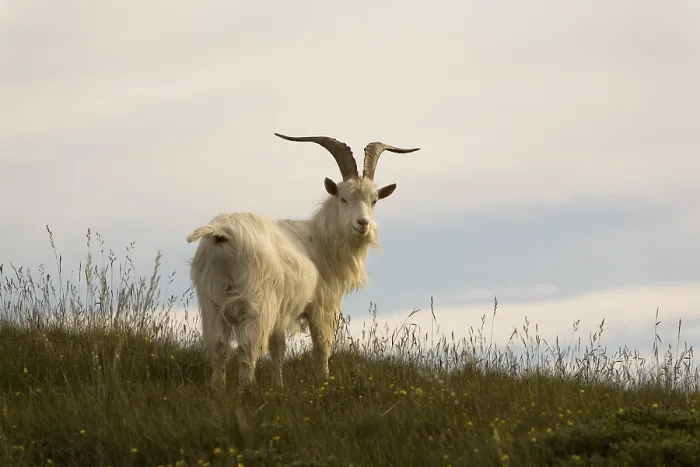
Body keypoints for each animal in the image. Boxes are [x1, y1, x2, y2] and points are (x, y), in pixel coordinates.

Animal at [186, 133, 419, 388]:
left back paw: (218, 389)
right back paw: (246, 389)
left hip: (212, 301)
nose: (362, 223)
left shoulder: (282, 310)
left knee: (219, 346)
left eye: (374, 199)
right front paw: (324, 382)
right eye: (343, 198)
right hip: (256, 302)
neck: (319, 240)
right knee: (247, 347)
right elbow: (322, 346)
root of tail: (222, 232)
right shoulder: (323, 305)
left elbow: (278, 350)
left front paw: (279, 386)